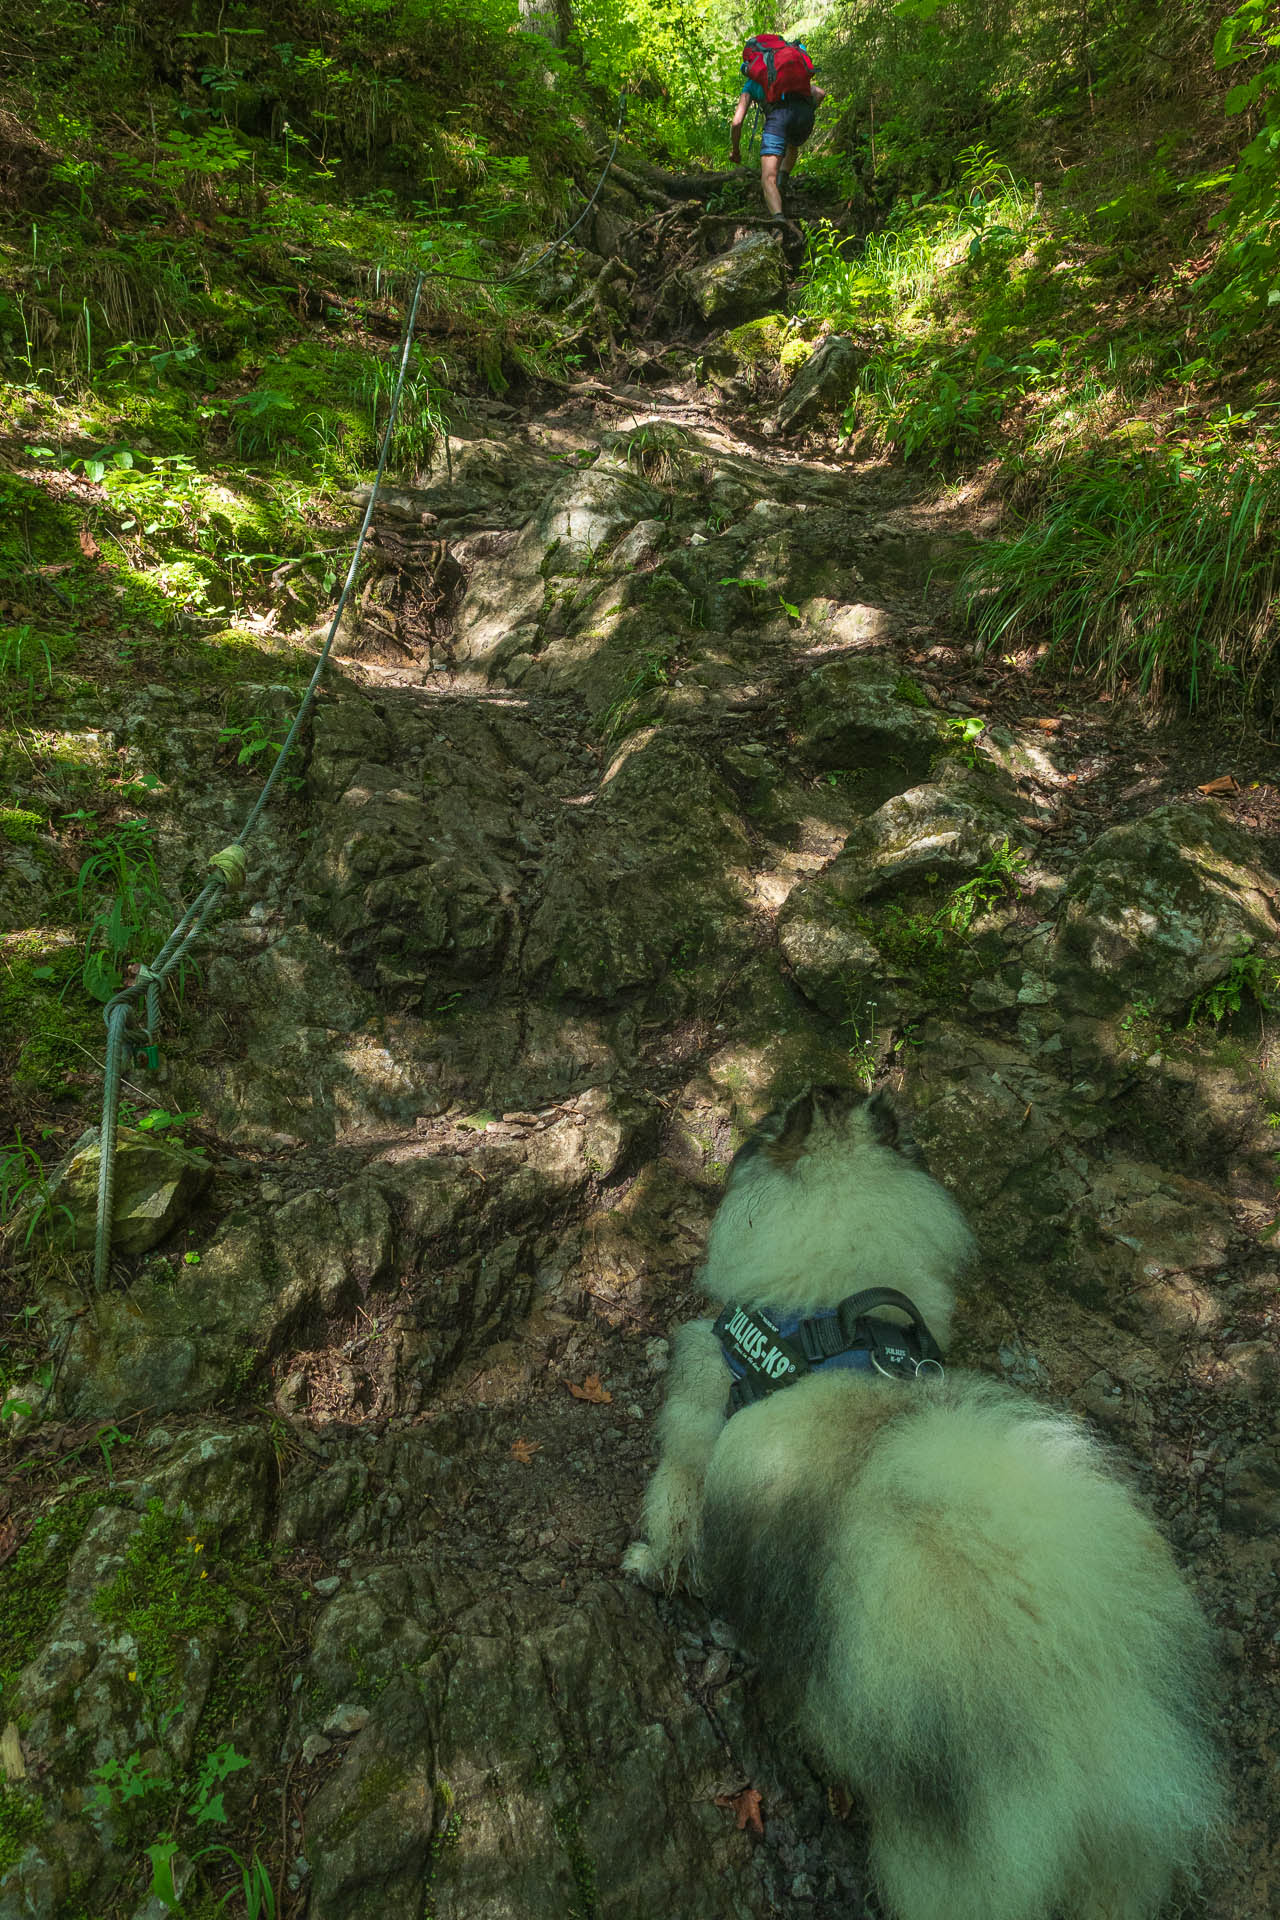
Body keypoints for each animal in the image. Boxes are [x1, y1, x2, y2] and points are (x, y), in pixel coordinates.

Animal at [625, 1090, 1228, 1912]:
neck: (823, 1310)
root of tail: (1088, 1732)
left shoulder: (692, 1427)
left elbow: (673, 1511)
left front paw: (648, 1563)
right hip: (1116, 1865)